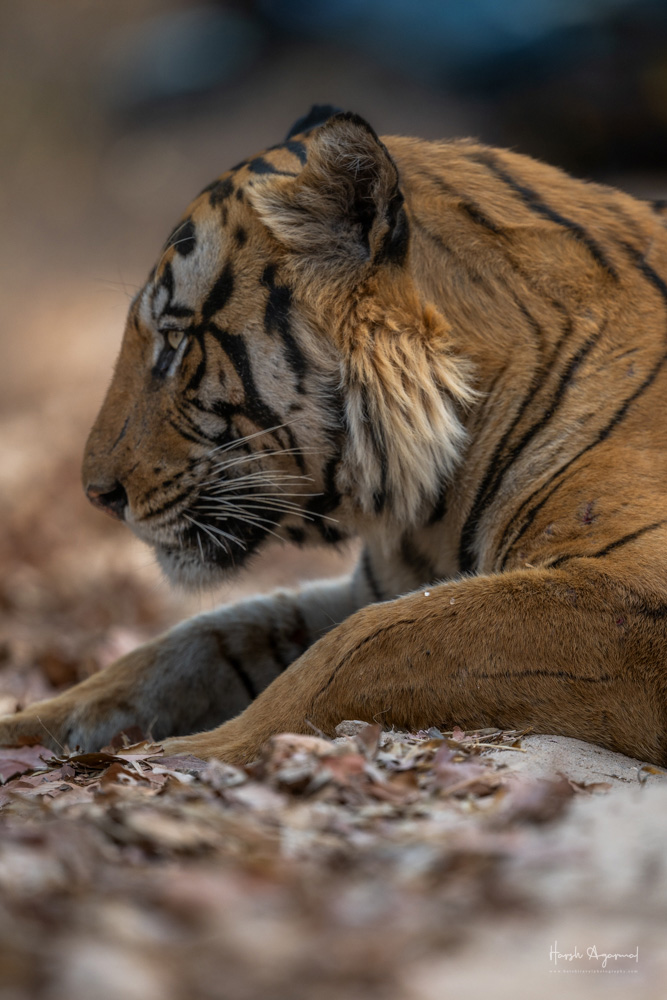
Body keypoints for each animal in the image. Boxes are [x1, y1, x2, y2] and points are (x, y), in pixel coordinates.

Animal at [2, 105, 667, 767]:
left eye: (174, 341)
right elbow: (193, 641)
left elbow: (360, 648)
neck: (434, 506)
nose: (98, 496)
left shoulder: (628, 591)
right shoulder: (377, 584)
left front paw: (185, 755)